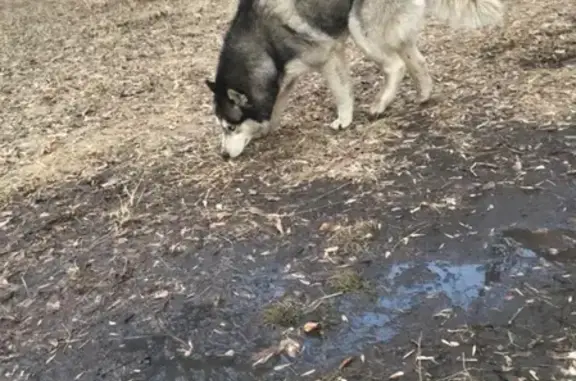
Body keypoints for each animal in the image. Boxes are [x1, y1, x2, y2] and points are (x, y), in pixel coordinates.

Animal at [206, 0, 504, 158]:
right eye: (222, 127)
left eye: (230, 127)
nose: (223, 156)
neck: (263, 39)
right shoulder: (284, 79)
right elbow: (275, 108)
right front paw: (266, 129)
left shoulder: (329, 57)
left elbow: (342, 93)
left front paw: (344, 120)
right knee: (417, 61)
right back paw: (423, 95)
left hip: (360, 29)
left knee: (396, 66)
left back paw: (380, 105)